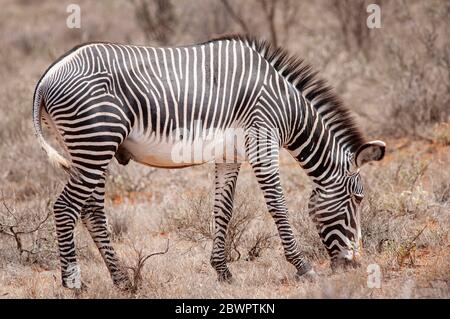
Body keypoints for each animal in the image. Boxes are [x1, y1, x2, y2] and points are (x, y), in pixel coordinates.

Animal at [31, 35, 384, 290]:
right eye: (357, 199)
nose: (354, 264)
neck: (286, 106)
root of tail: (48, 75)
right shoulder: (263, 140)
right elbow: (278, 206)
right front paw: (303, 267)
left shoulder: (230, 155)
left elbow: (223, 210)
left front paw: (223, 271)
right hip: (96, 142)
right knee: (66, 207)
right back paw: (74, 283)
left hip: (87, 148)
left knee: (90, 211)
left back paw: (121, 281)